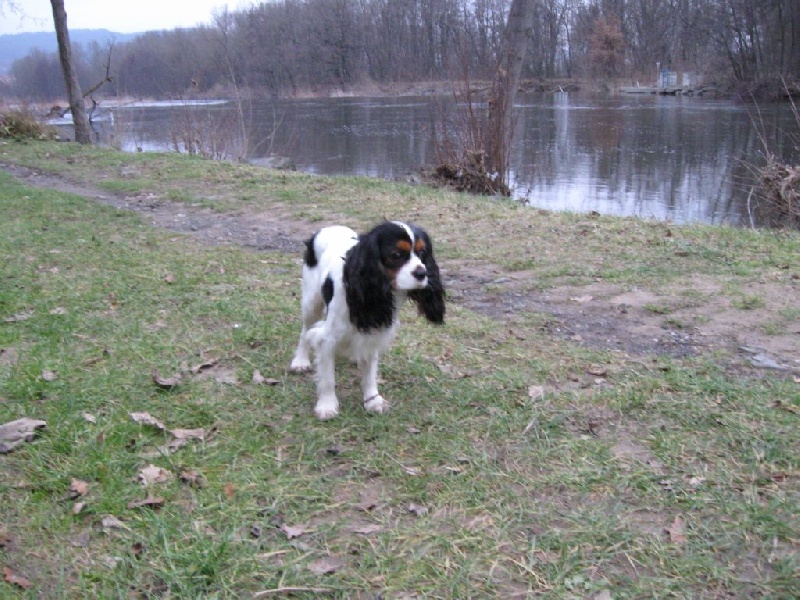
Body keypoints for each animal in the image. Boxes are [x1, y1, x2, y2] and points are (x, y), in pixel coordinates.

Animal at [290, 219, 446, 418]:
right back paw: (300, 361)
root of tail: (327, 228)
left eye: (422, 253)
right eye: (396, 254)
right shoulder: (328, 338)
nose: (422, 273)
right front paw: (327, 405)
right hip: (311, 301)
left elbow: (370, 371)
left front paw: (373, 401)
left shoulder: (374, 332)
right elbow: (327, 377)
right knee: (305, 330)